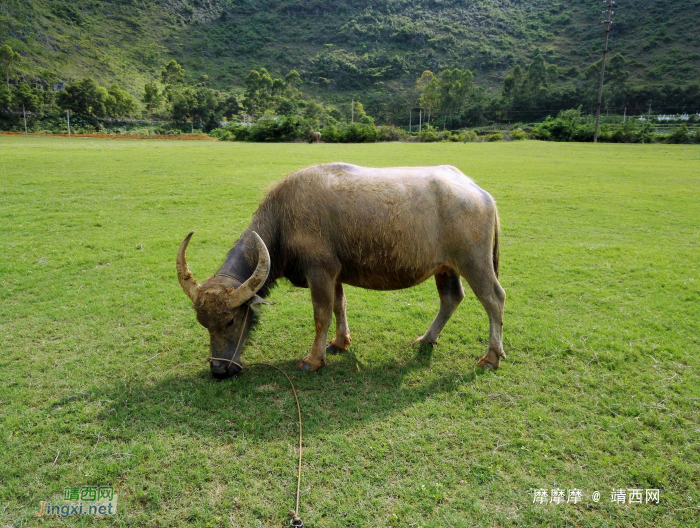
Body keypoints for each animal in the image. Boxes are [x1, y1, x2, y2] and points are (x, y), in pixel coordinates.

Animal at [174, 163, 504, 378]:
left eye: (230, 321)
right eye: (203, 323)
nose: (219, 369)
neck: (283, 221)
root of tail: (480, 192)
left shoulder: (319, 271)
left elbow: (321, 314)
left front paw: (313, 359)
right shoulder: (335, 274)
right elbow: (338, 305)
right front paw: (340, 342)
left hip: (474, 262)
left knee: (494, 299)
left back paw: (491, 357)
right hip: (446, 267)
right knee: (451, 298)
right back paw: (426, 338)